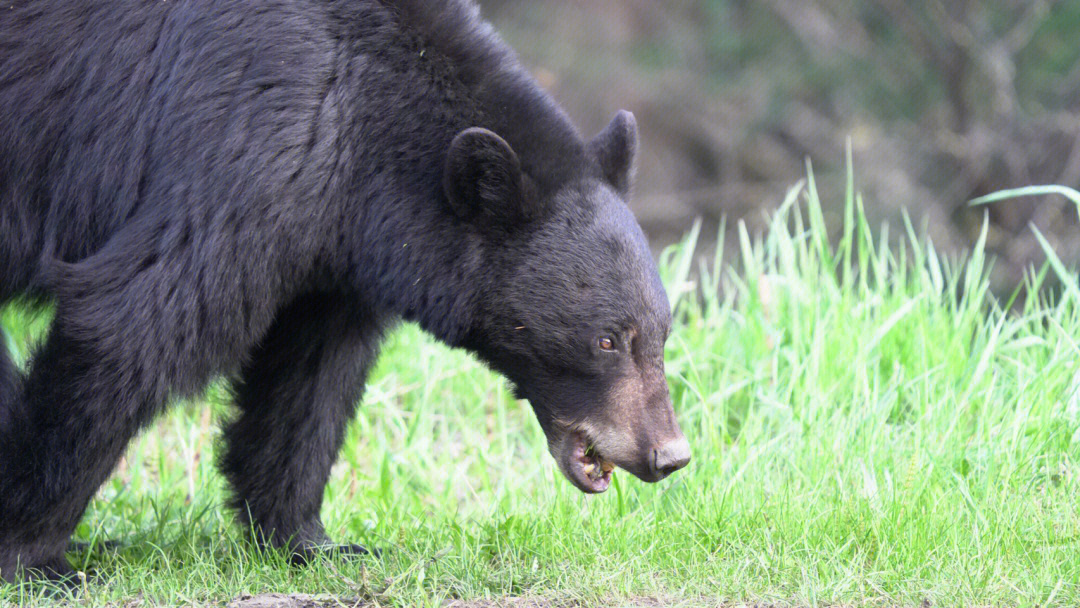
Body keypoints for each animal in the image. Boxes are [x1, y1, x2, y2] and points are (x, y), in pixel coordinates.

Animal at [0, 0, 691, 578]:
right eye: (607, 340)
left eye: (661, 334)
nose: (670, 455)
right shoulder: (243, 146)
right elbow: (136, 319)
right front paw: (35, 556)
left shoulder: (333, 240)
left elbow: (310, 378)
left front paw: (310, 543)